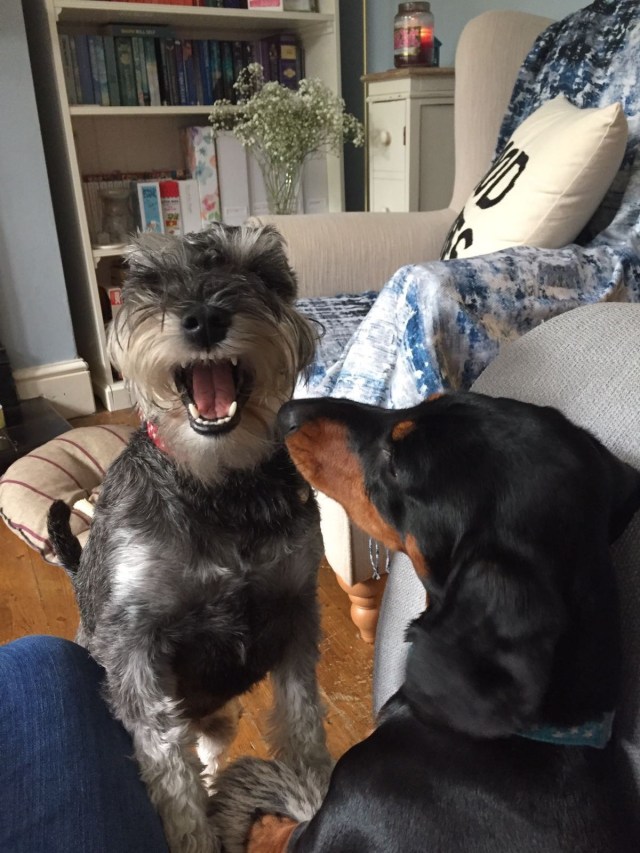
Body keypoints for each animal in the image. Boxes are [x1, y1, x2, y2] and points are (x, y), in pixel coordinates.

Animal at [47, 224, 332, 853]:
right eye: (150, 279)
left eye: (261, 273)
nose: (204, 318)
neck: (220, 486)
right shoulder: (134, 644)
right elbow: (167, 764)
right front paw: (194, 833)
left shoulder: (296, 610)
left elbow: (302, 718)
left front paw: (317, 786)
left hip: (220, 717)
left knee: (211, 744)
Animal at [210, 392, 640, 852]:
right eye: (428, 399)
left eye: (396, 463)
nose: (286, 412)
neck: (542, 732)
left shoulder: (335, 818)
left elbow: (288, 834)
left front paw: (263, 822)